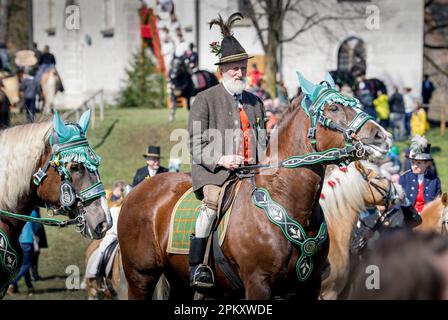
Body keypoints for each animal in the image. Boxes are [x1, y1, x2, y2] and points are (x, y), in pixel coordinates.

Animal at [118, 72, 392, 300]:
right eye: (334, 107)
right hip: (140, 277)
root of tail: (137, 191)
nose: (382, 136)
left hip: (178, 280)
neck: (286, 198)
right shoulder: (258, 284)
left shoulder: (309, 287)